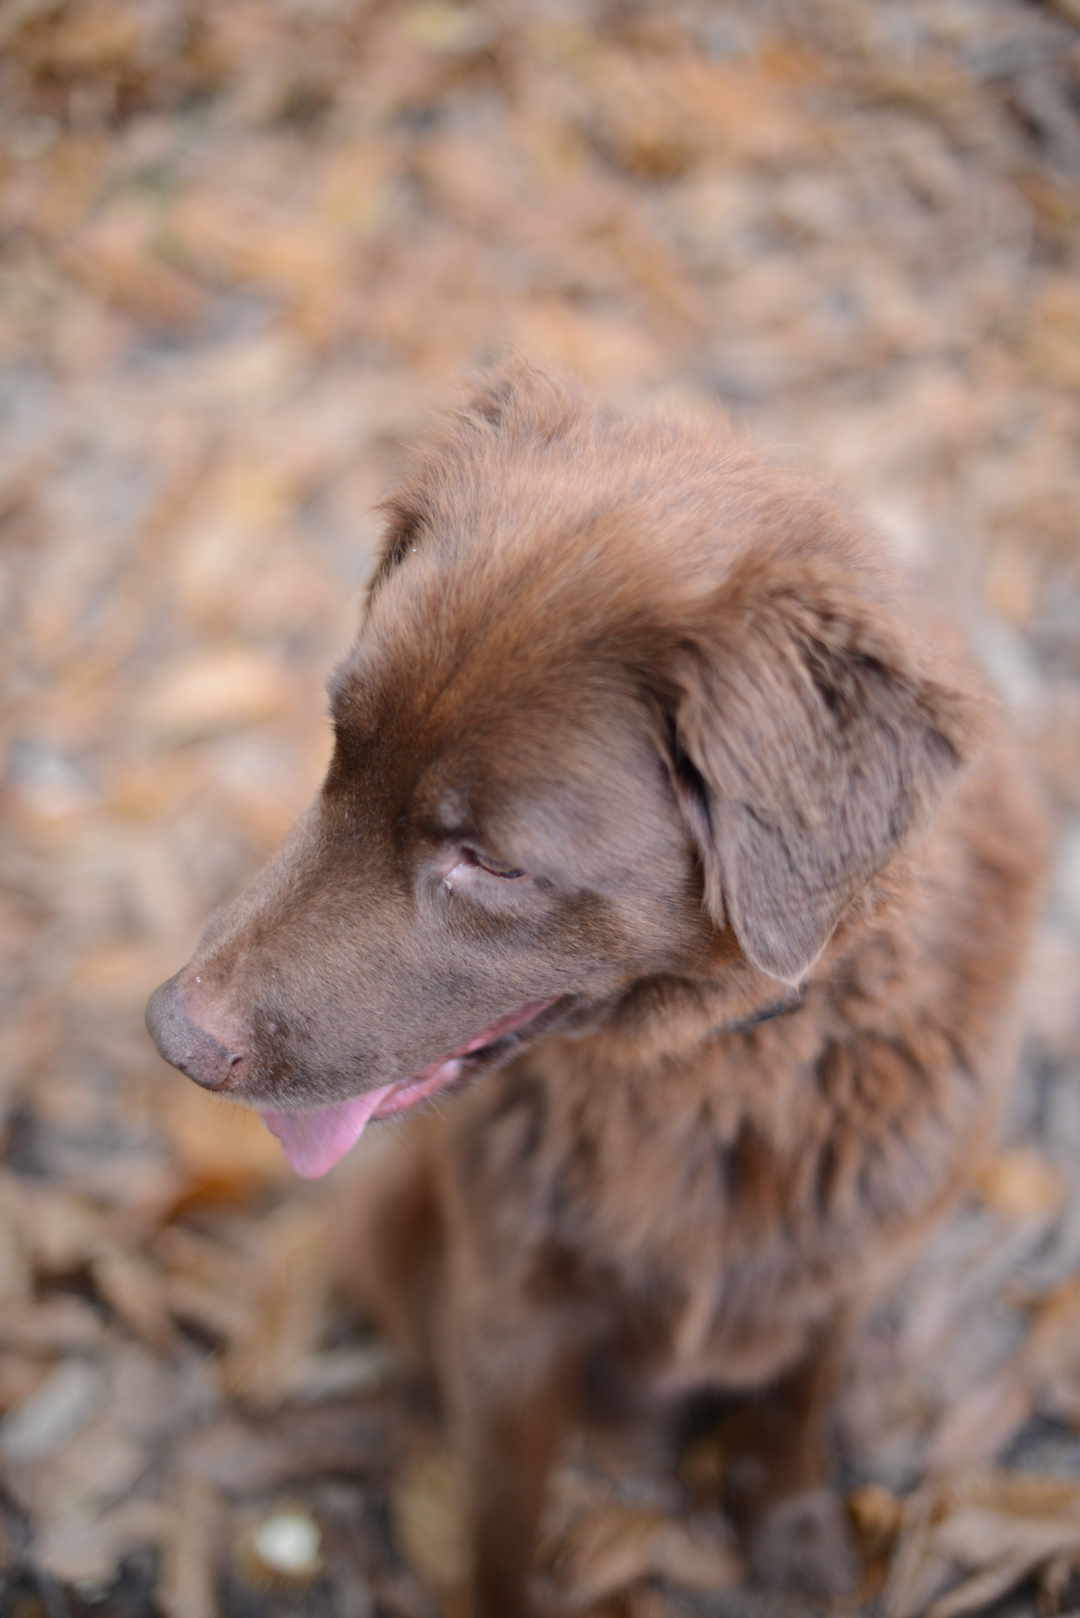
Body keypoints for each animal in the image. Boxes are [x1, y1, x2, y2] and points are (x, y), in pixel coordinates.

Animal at [145, 367, 1049, 1618]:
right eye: (339, 748)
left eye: (489, 862)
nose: (174, 1036)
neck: (722, 1064)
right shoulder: (510, 1312)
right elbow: (501, 1526)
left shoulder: (847, 1268)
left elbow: (796, 1401)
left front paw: (796, 1529)